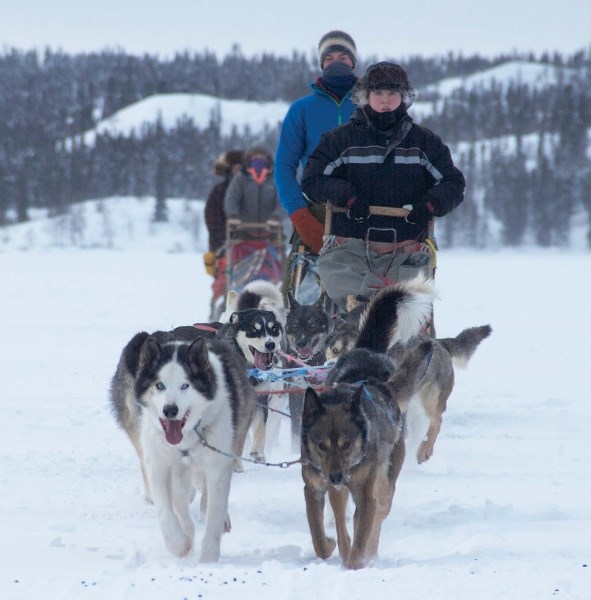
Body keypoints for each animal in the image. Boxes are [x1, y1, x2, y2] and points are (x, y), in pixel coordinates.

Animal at [110, 328, 256, 564]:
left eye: (185, 385)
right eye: (159, 385)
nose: (170, 410)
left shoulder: (217, 467)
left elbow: (214, 513)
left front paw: (208, 559)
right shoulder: (159, 465)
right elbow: (166, 511)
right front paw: (179, 544)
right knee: (181, 497)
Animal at [300, 278, 434, 568]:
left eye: (347, 444)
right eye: (321, 445)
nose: (336, 475)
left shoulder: (365, 492)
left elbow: (363, 531)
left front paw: (357, 561)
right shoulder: (318, 487)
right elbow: (322, 534)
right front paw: (333, 546)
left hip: (386, 478)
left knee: (379, 512)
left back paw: (371, 551)